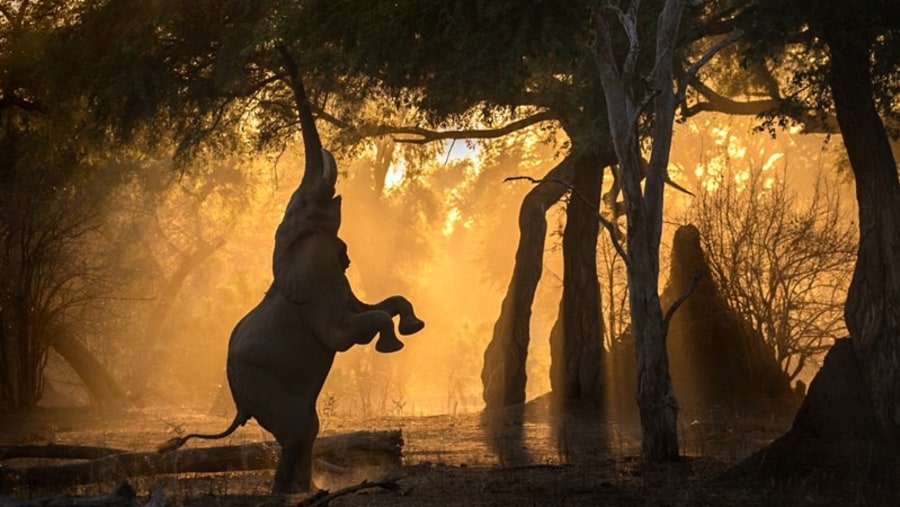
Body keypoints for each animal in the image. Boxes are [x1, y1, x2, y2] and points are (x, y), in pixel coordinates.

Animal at [159, 76, 426, 496]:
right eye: (304, 204)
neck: (294, 242)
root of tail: (239, 405)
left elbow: (377, 305)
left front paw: (414, 326)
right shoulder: (316, 291)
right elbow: (345, 334)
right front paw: (392, 346)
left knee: (306, 428)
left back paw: (308, 490)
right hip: (261, 383)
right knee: (299, 428)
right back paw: (291, 492)